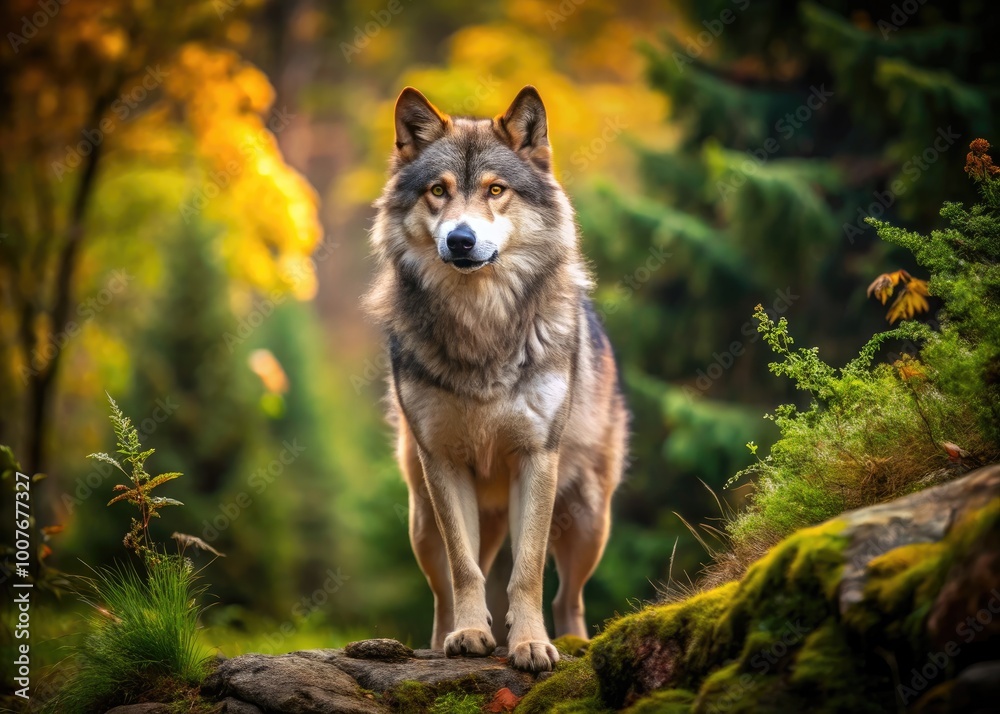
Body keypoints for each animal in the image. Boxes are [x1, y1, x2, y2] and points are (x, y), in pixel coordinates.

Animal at [364, 85, 628, 672]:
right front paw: (468, 637)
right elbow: (465, 572)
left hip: (588, 518)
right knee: (447, 587)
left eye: (495, 190)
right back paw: (447, 639)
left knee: (568, 596)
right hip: (423, 517)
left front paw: (530, 645)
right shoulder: (442, 462)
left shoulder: (537, 458)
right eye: (438, 191)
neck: (479, 324)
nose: (461, 240)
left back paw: (573, 644)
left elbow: (526, 573)